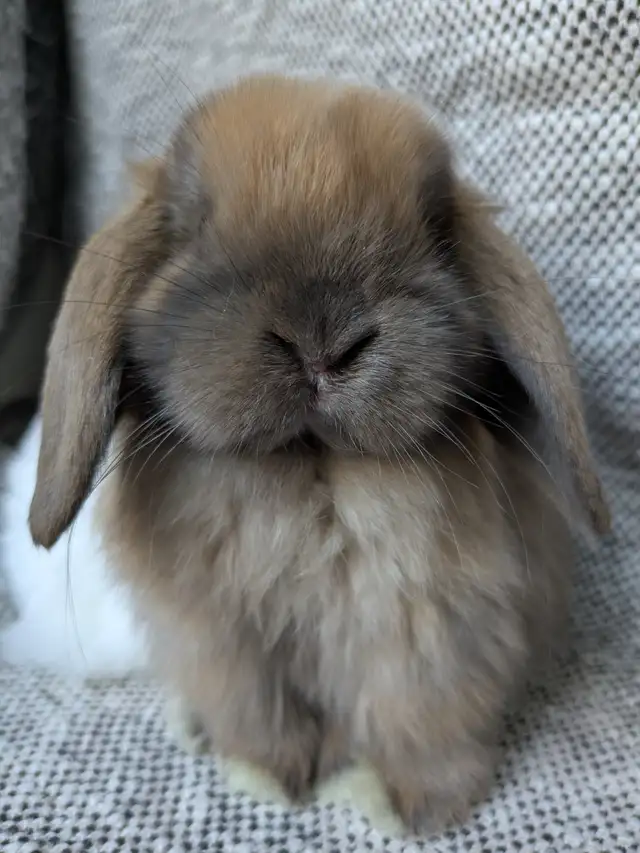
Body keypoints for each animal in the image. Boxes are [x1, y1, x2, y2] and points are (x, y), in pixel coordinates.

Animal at [25, 74, 609, 833]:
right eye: (190, 225)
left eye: (433, 229)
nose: (321, 341)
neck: (309, 476)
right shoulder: (227, 642)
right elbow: (262, 712)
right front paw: (271, 772)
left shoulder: (434, 631)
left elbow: (420, 716)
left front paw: (422, 805)